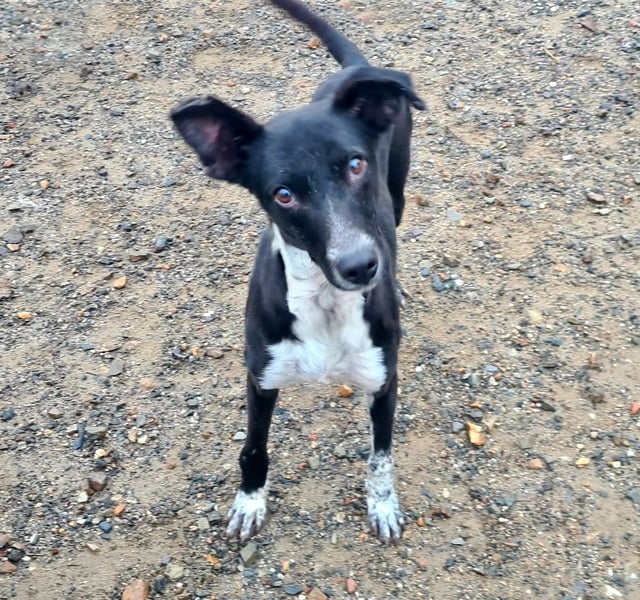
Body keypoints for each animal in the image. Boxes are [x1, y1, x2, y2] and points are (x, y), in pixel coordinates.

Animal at [170, 0, 424, 543]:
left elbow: (381, 458)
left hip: (398, 192)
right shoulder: (260, 377)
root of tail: (356, 71)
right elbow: (252, 448)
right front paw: (249, 502)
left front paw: (382, 505)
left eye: (356, 165)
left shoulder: (383, 381)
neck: (325, 303)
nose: (360, 266)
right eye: (283, 195)